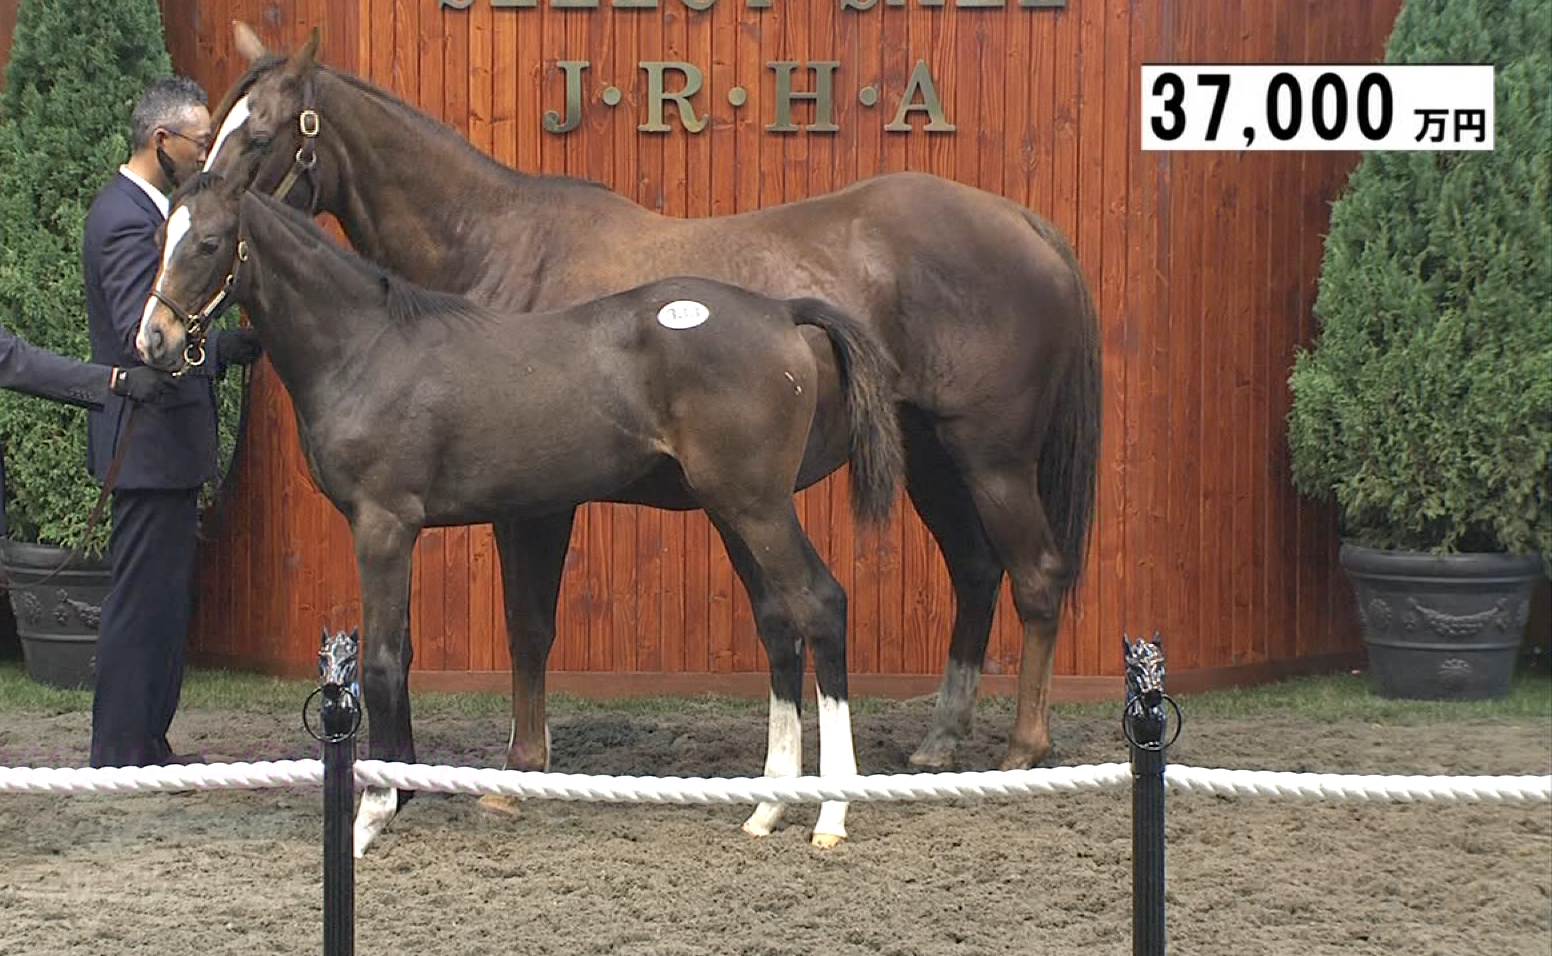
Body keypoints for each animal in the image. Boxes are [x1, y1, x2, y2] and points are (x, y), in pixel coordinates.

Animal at [136, 173, 906, 856]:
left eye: (208, 242)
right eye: (161, 237)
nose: (154, 341)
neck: (367, 349)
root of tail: (780, 312)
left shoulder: (383, 525)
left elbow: (381, 660)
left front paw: (372, 814)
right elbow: (404, 654)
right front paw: (402, 789)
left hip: (758, 507)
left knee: (821, 605)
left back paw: (831, 816)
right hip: (735, 507)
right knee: (780, 625)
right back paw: (768, 809)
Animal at [203, 25, 1102, 784]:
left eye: (261, 135)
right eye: (214, 127)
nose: (198, 203)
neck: (500, 248)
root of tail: (1024, 223)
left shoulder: (535, 503)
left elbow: (529, 623)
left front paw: (524, 764)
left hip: (991, 459)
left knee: (1036, 576)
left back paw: (1026, 745)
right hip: (933, 460)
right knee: (977, 573)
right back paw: (942, 738)